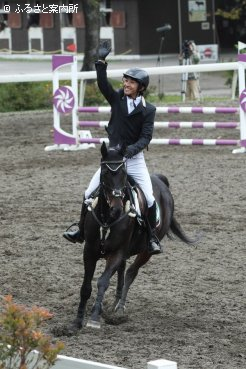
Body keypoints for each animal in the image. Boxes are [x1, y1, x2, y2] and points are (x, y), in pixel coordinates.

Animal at [66, 142, 195, 334]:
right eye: (105, 172)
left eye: (124, 174)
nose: (117, 209)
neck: (107, 218)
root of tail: (160, 181)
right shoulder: (89, 251)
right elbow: (86, 287)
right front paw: (76, 322)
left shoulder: (117, 252)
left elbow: (103, 282)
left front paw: (94, 318)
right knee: (122, 270)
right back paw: (113, 305)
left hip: (145, 252)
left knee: (130, 272)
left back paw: (119, 308)